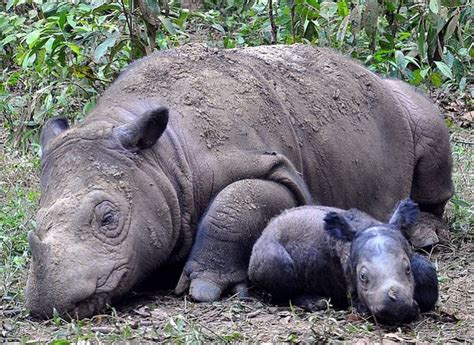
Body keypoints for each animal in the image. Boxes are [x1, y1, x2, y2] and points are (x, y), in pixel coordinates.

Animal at [248, 199, 436, 322]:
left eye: (407, 269)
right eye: (362, 277)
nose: (396, 308)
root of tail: (265, 230)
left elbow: (427, 276)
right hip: (265, 251)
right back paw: (315, 302)